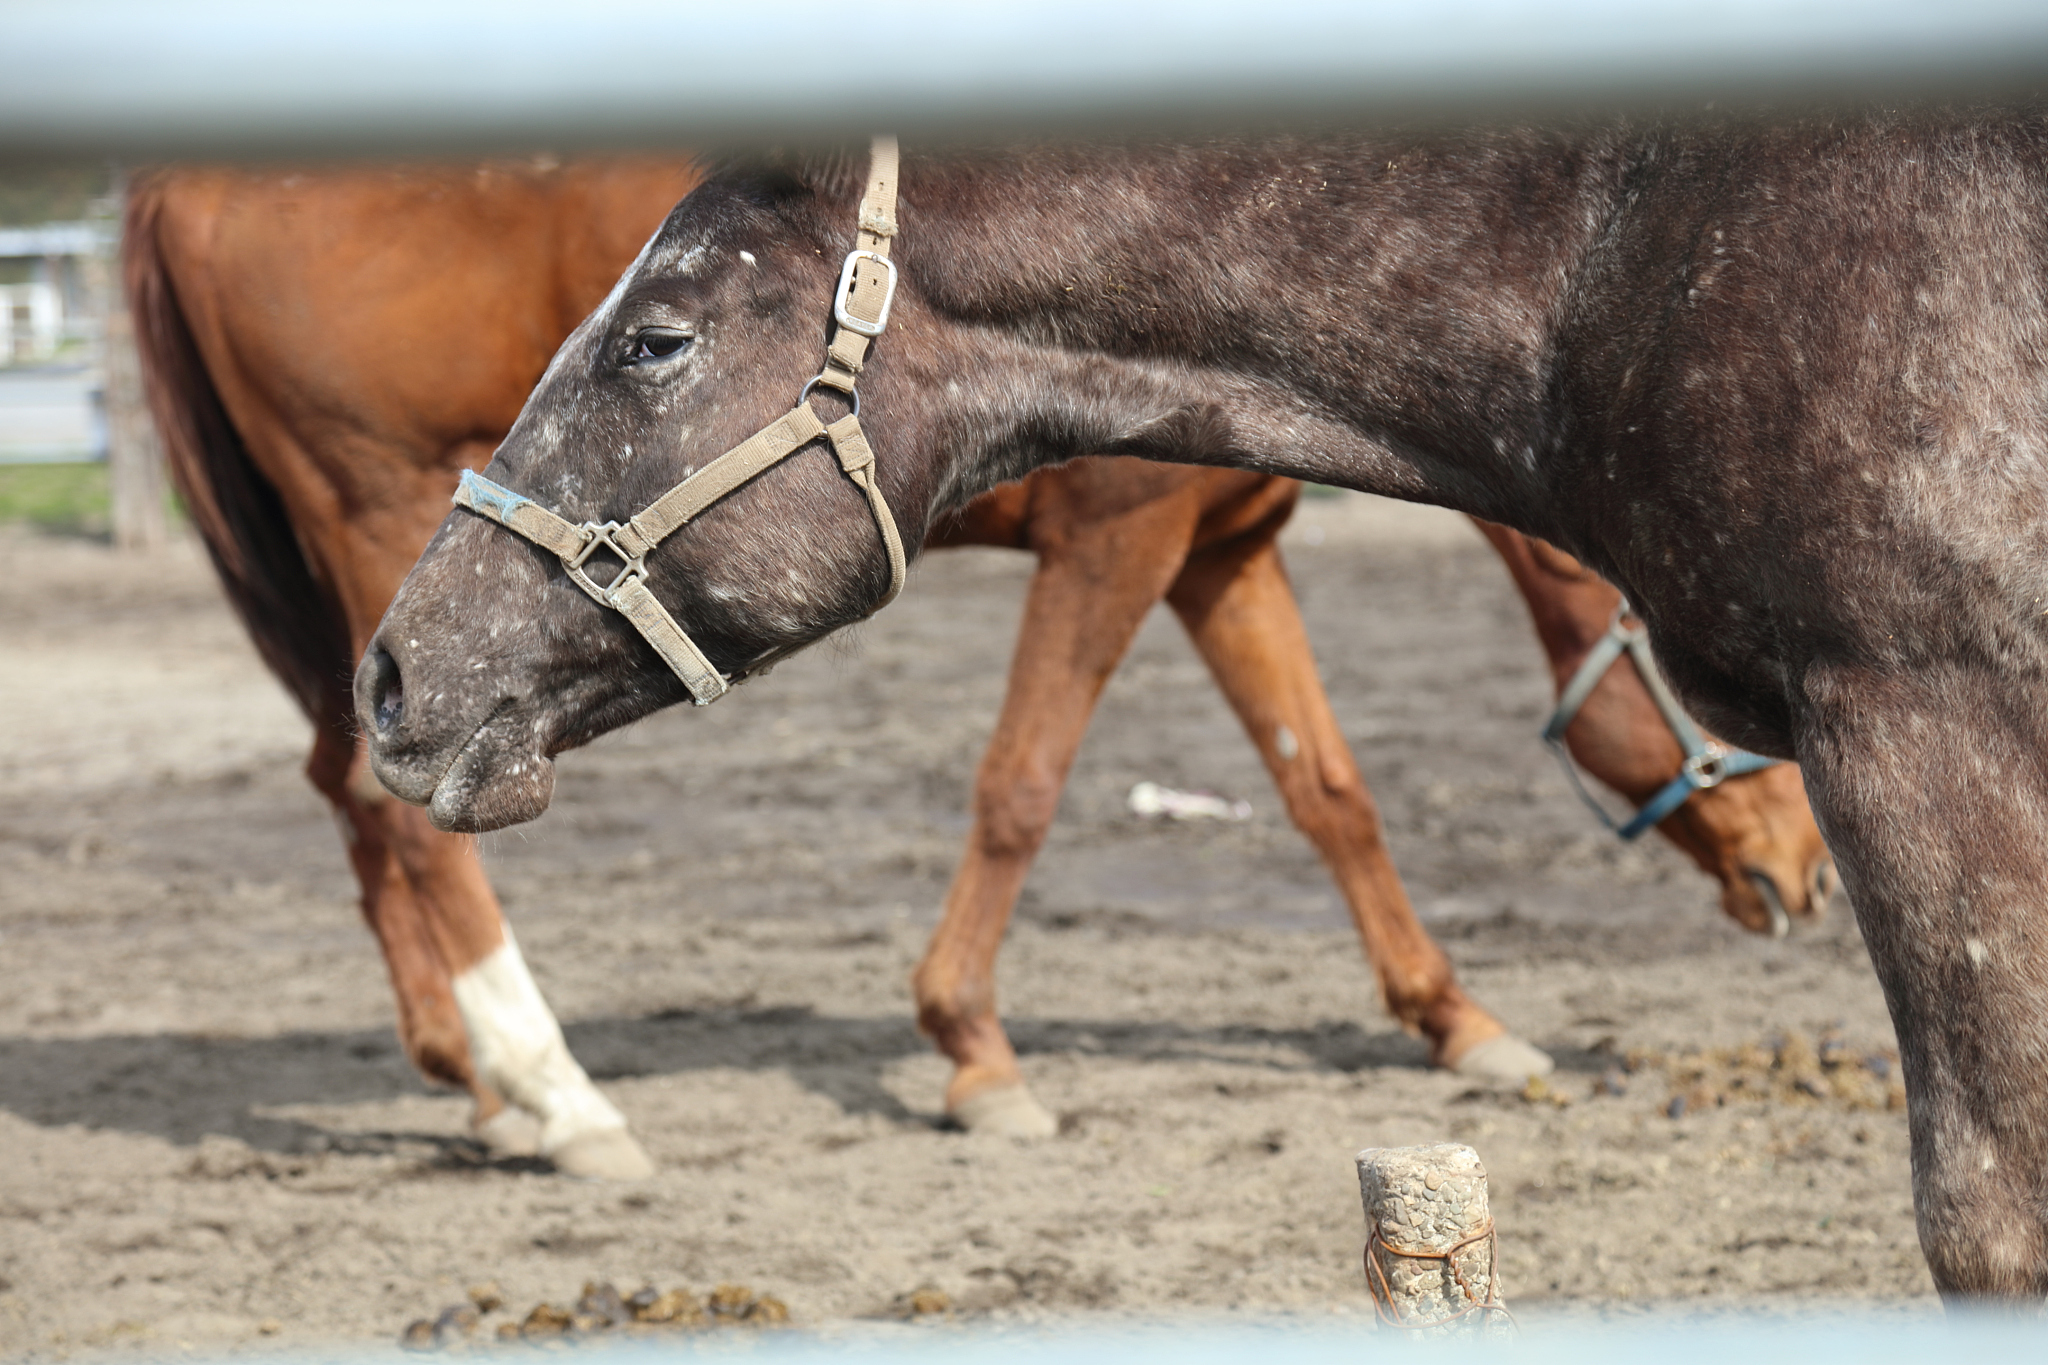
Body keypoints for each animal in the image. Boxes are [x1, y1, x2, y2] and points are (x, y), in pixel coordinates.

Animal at [125, 154, 1828, 1170]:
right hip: (384, 527)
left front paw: (1459, 1021)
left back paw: (477, 1079)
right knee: (410, 801)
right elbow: (1023, 782)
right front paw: (974, 1051)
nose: (1810, 869)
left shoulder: (1222, 555)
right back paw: (557, 1091)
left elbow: (1330, 793)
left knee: (351, 780)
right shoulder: (1120, 540)